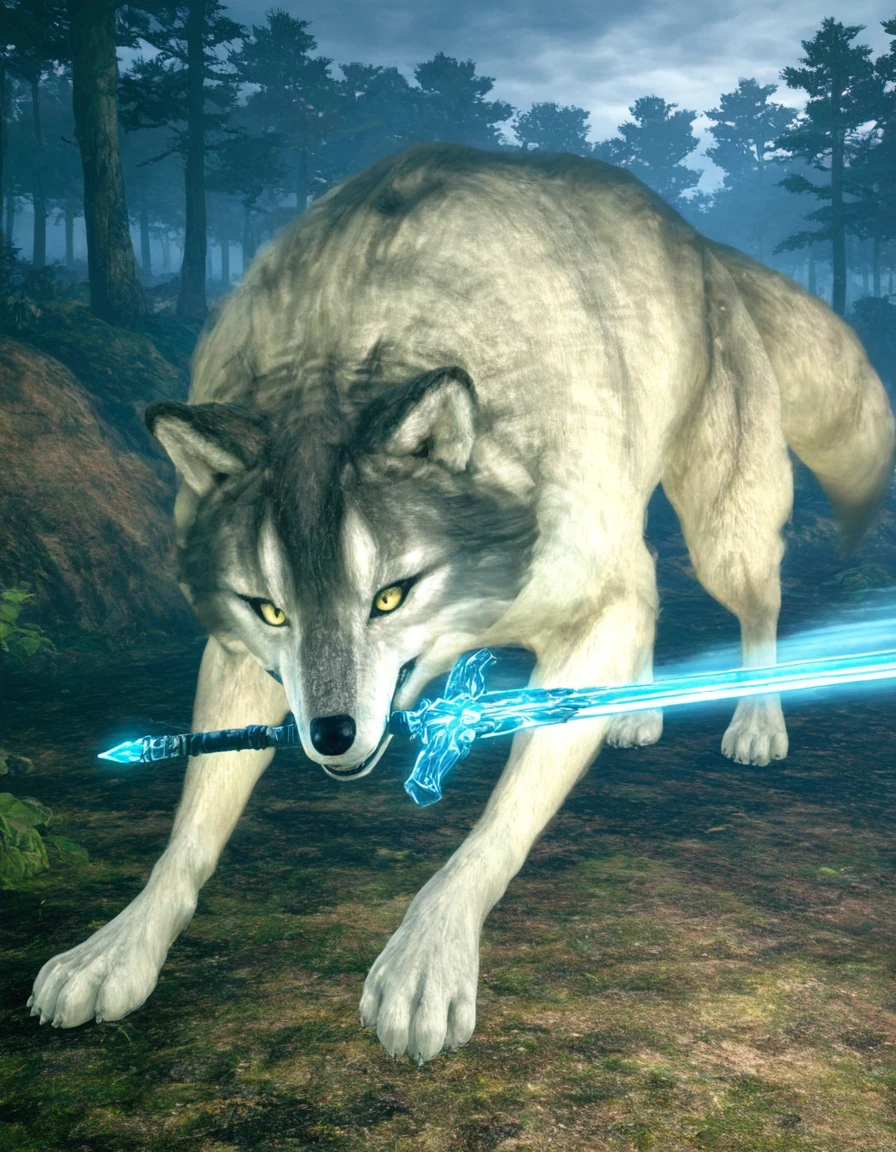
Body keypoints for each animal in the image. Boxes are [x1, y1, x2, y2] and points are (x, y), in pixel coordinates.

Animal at [29, 143, 895, 1063]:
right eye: (272, 610)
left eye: (389, 596)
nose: (330, 736)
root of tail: (696, 238)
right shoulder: (239, 652)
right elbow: (189, 832)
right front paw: (115, 949)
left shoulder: (586, 604)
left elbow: (495, 831)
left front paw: (426, 960)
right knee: (656, 583)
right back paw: (637, 709)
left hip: (723, 531)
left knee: (748, 604)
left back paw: (755, 722)